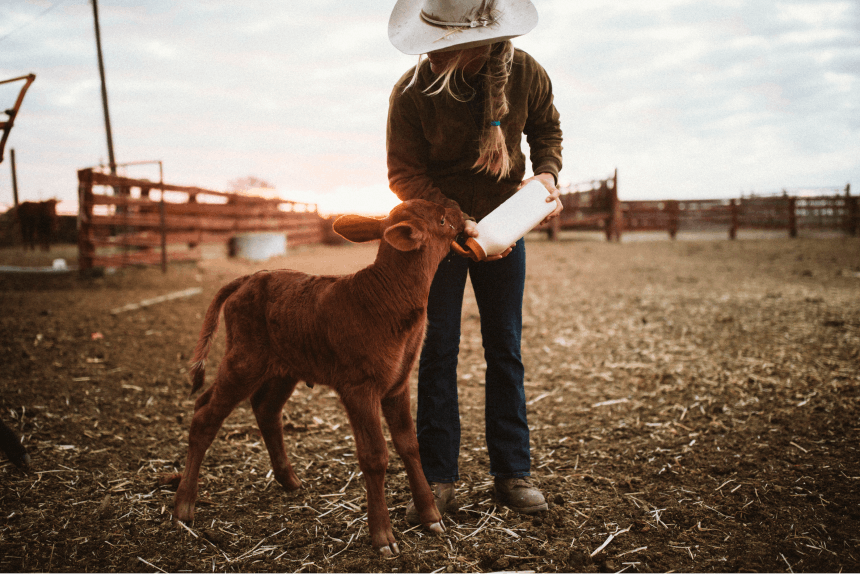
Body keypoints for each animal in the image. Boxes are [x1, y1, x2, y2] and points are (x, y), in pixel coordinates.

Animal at [173, 200, 464, 556]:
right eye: (442, 220)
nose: (463, 211)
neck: (388, 299)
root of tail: (249, 277)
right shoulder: (359, 386)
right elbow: (375, 456)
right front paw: (383, 536)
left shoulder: (398, 383)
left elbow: (409, 446)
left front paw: (431, 516)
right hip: (245, 359)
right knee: (205, 416)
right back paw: (184, 506)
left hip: (282, 366)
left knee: (261, 408)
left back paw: (289, 480)